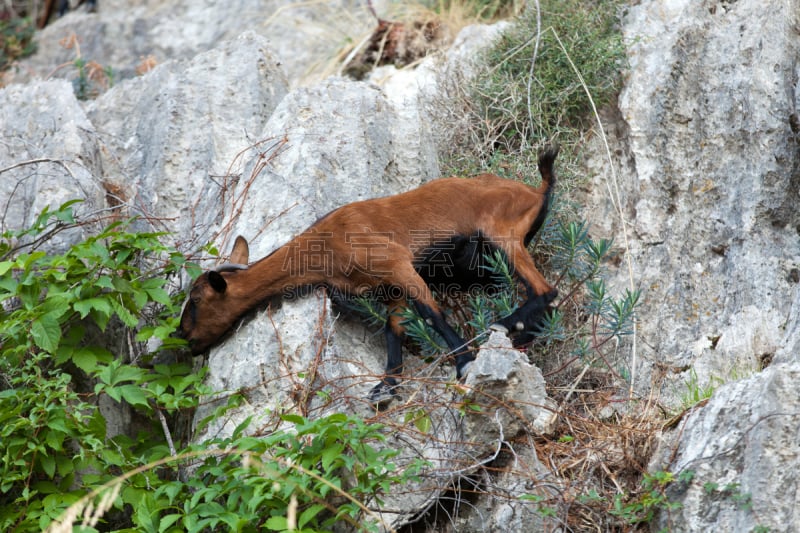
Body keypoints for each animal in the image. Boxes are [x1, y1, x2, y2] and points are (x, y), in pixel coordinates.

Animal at [179, 145, 560, 400]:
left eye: (196, 300)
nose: (185, 339)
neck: (325, 244)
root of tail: (536, 191)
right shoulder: (389, 290)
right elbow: (393, 330)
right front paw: (386, 386)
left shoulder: (397, 265)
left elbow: (431, 314)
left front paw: (464, 364)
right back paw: (521, 334)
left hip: (503, 235)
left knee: (545, 291)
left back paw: (507, 324)